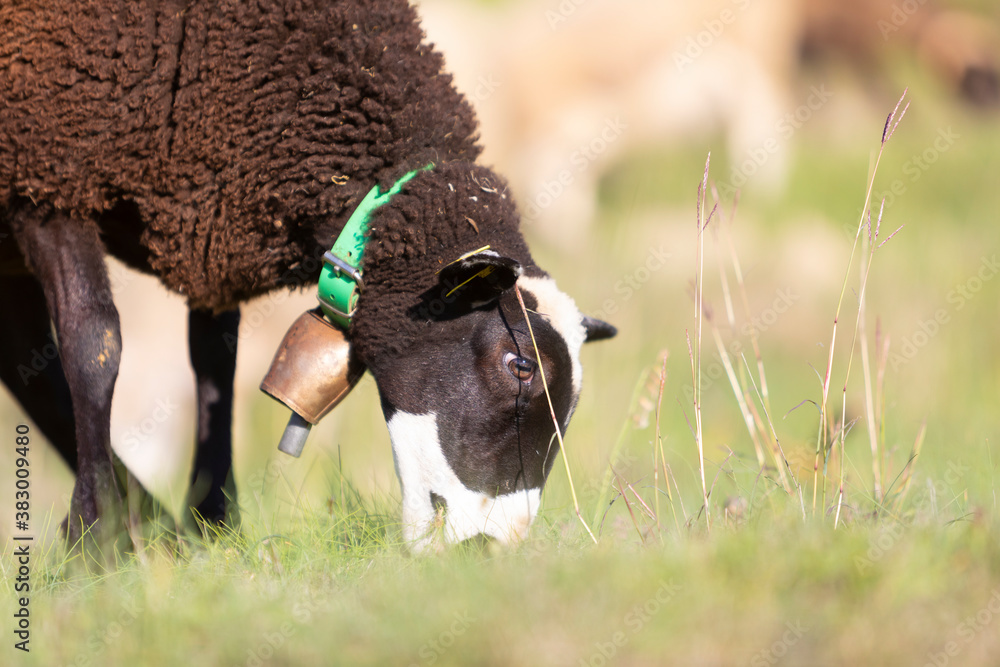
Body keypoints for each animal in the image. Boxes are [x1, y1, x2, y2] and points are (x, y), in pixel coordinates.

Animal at [0, 0, 615, 550]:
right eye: (520, 366)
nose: (491, 549)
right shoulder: (49, 175)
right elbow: (94, 346)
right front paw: (96, 536)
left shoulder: (213, 222)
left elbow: (215, 367)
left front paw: (212, 528)